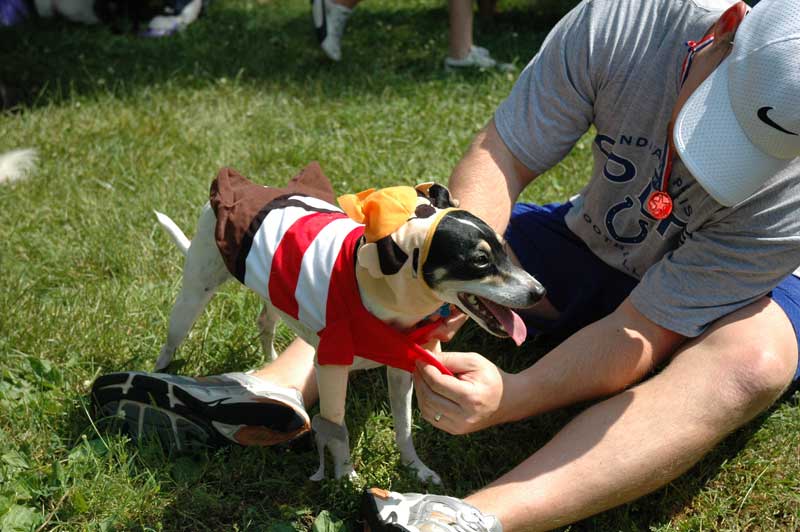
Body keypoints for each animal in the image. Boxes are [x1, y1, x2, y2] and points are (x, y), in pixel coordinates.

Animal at [155, 164, 544, 484]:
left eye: (504, 248)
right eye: (480, 260)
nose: (539, 292)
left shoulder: (401, 370)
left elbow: (404, 427)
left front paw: (415, 468)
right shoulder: (331, 368)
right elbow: (337, 428)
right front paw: (344, 477)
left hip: (274, 292)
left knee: (264, 322)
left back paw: (267, 362)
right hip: (193, 295)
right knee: (171, 342)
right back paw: (157, 381)